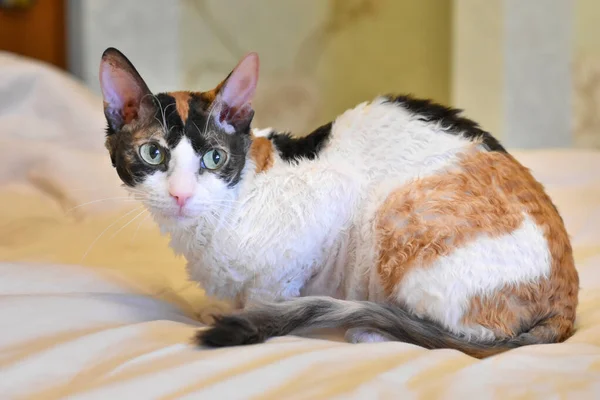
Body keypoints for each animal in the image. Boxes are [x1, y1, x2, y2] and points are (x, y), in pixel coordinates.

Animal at [99, 47, 580, 360]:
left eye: (214, 158)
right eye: (152, 154)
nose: (181, 194)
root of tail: (568, 304)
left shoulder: (321, 211)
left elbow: (265, 295)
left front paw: (250, 318)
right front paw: (220, 309)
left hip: (391, 218)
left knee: (464, 338)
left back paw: (374, 331)